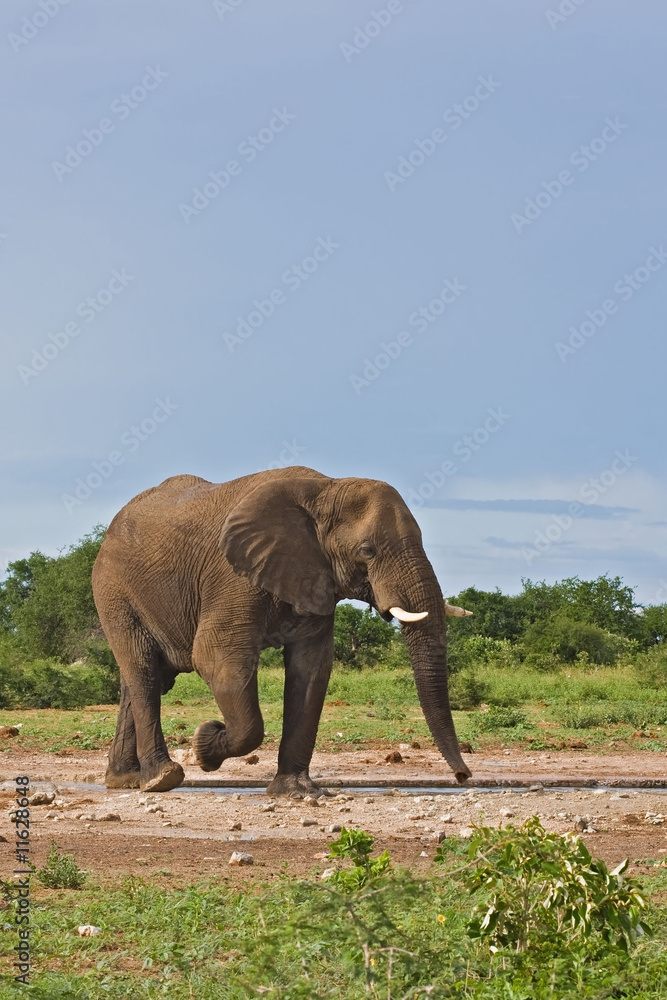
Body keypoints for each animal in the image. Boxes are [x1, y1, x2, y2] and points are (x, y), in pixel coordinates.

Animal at [92, 466, 473, 796]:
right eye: (367, 550)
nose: (463, 776)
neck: (326, 488)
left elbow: (311, 671)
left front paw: (297, 791)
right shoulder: (231, 577)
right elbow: (217, 660)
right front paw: (205, 744)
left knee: (145, 679)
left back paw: (126, 781)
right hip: (114, 591)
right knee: (144, 673)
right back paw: (162, 779)